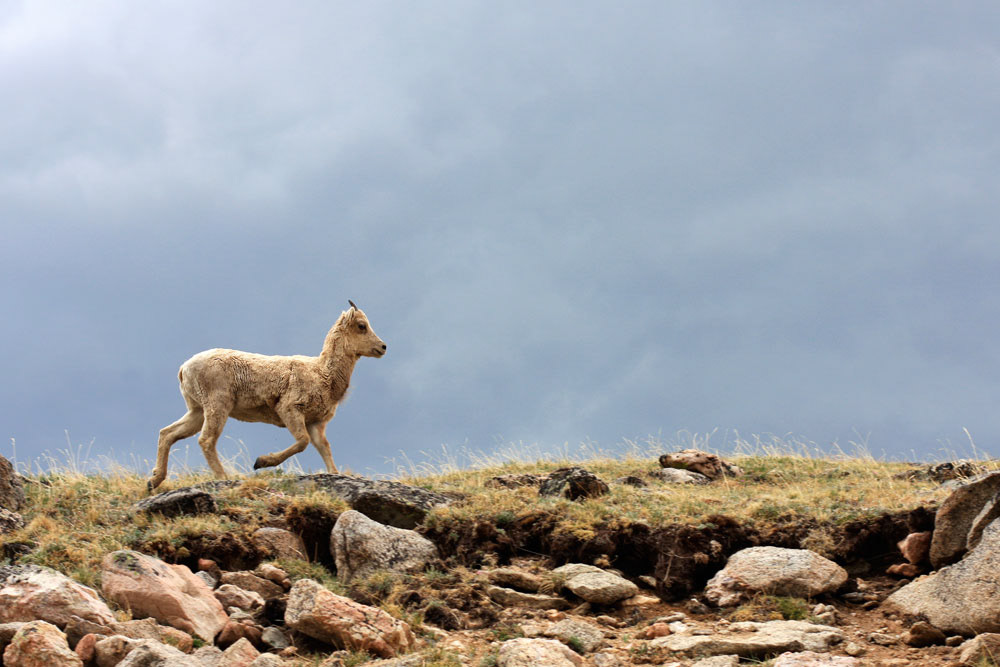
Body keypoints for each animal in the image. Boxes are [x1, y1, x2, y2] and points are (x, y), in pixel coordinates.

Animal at [148, 301, 386, 490]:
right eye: (362, 326)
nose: (383, 347)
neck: (323, 374)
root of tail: (184, 369)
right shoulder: (290, 409)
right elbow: (302, 442)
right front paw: (261, 462)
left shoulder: (316, 423)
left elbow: (325, 450)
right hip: (218, 405)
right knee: (206, 440)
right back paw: (224, 477)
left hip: (197, 410)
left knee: (167, 433)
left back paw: (154, 480)